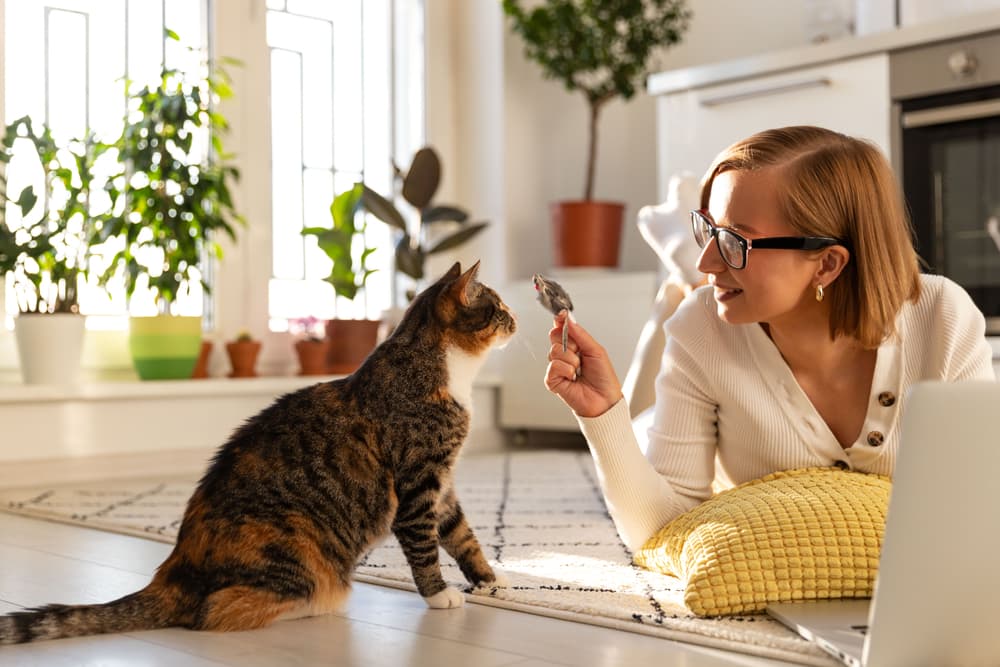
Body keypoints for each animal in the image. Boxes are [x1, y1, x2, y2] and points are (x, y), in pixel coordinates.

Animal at [0, 258, 516, 644]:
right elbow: (426, 548)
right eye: (496, 306)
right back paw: (317, 606)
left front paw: (490, 579)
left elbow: (463, 535)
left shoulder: (442, 485)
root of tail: (173, 570)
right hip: (299, 552)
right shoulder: (418, 484)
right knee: (213, 613)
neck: (444, 372)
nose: (515, 318)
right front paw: (441, 595)